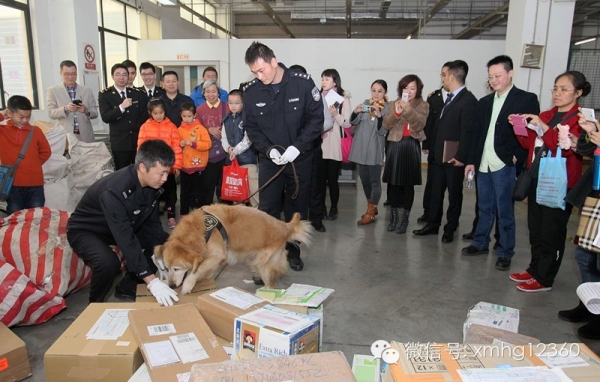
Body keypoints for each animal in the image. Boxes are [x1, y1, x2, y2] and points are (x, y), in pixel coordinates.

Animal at [155, 204, 312, 294]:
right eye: (166, 268)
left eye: (176, 269)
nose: (171, 286)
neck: (199, 230)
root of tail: (283, 226)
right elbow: (204, 270)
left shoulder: (219, 255)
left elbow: (198, 269)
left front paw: (188, 284)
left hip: (264, 265)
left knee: (271, 285)